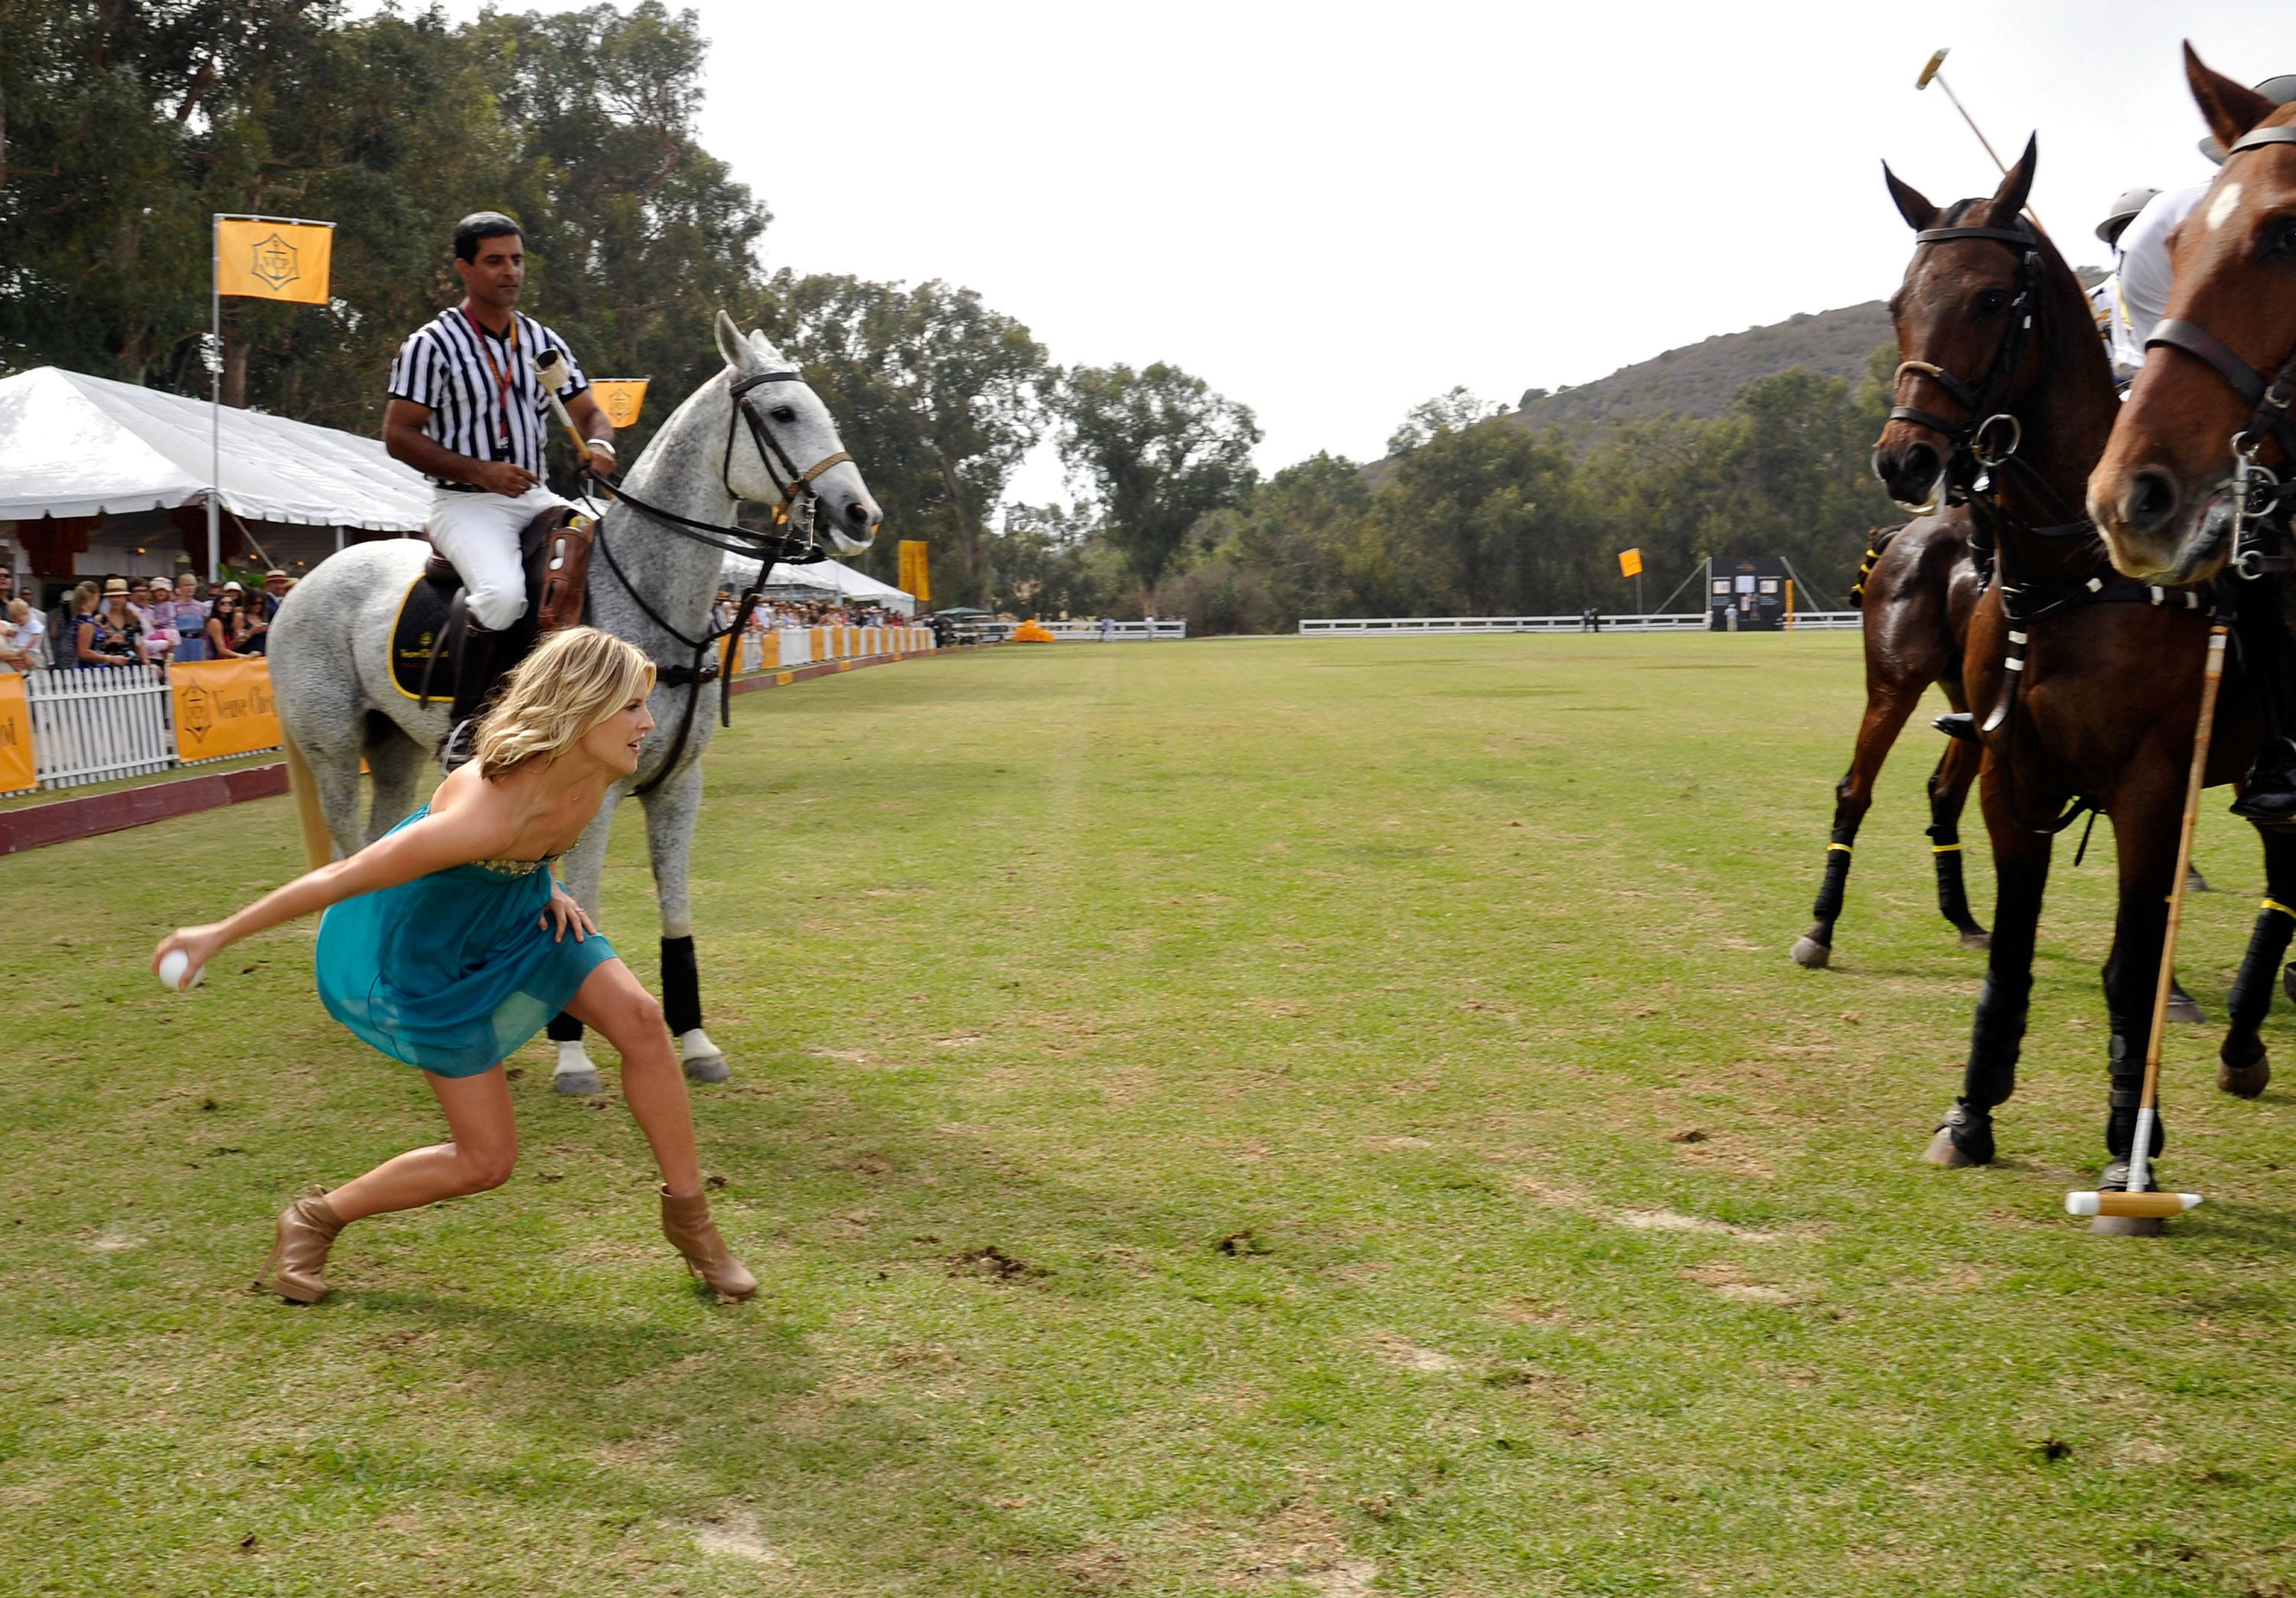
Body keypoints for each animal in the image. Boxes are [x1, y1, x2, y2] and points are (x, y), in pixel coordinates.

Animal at [269, 310, 877, 1093]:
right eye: (782, 413)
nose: (861, 514)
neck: (650, 598)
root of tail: (295, 588)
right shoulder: (597, 792)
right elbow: (580, 905)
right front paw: (572, 1052)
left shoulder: (680, 784)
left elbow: (676, 909)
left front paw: (697, 1043)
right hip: (334, 749)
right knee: (348, 849)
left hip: (394, 746)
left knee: (384, 843)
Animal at [1874, 137, 2287, 1203]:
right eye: (1898, 302)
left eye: (1989, 299)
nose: (1904, 459)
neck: (2075, 573)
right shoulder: (2010, 774)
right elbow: (2012, 956)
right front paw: (1971, 1111)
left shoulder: (2150, 783)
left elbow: (2132, 963)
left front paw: (2130, 1138)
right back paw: (2243, 1046)